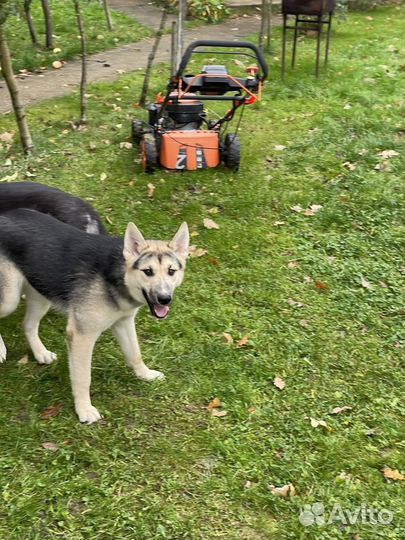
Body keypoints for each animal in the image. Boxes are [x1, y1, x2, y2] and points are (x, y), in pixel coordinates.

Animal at [0, 206, 189, 422]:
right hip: (9, 300)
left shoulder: (124, 323)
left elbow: (135, 354)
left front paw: (145, 374)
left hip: (41, 296)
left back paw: (40, 352)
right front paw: (84, 409)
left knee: (28, 325)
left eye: (171, 271)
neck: (118, 276)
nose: (165, 299)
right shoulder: (82, 336)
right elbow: (83, 378)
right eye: (148, 271)